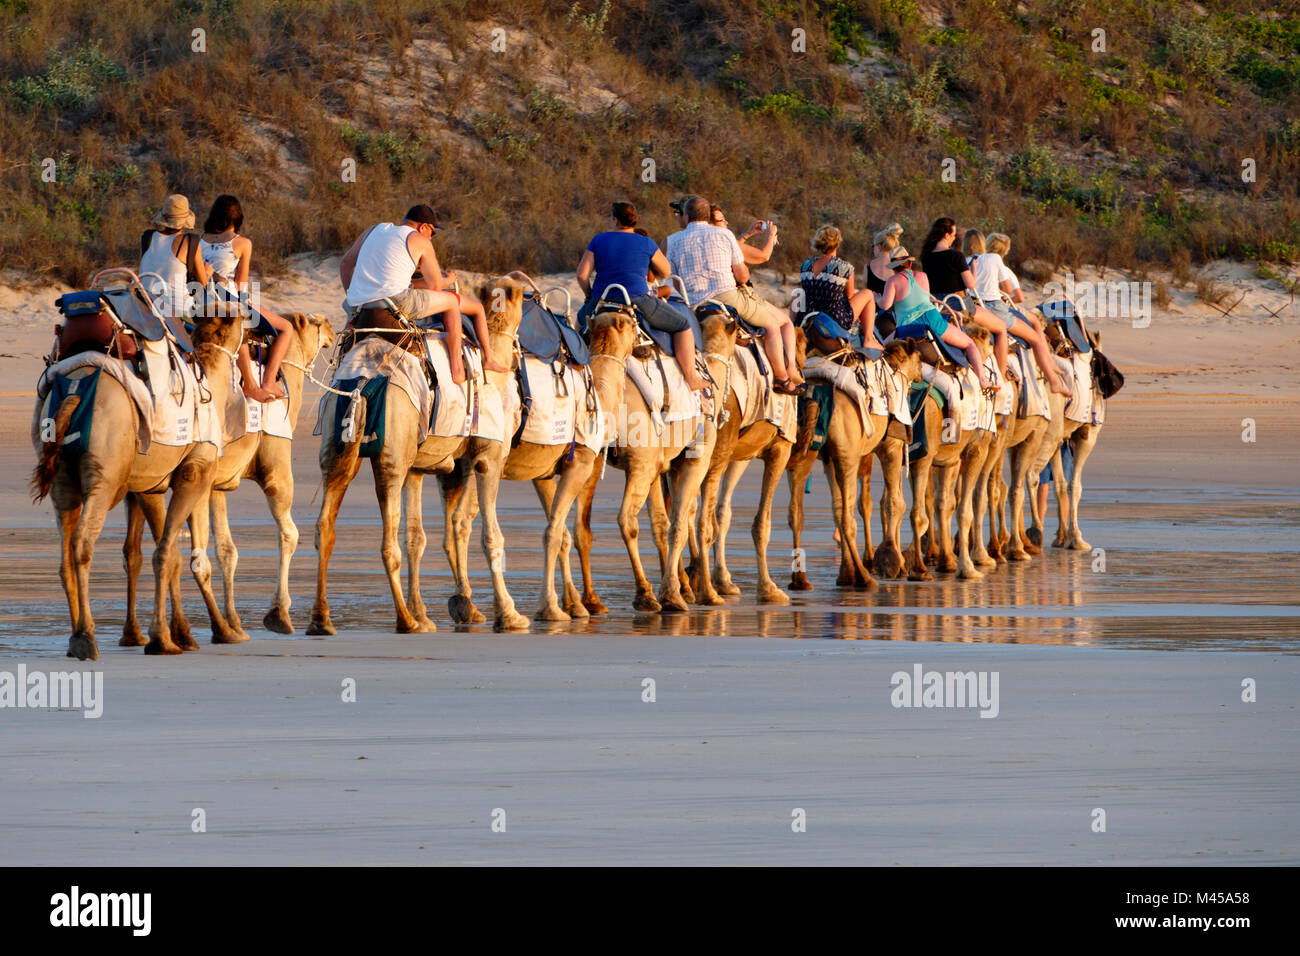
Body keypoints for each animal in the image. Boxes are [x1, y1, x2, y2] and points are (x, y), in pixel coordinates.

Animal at [32, 310, 244, 660]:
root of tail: (74, 389)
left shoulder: (149, 486)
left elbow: (165, 554)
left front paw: (179, 634)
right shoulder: (196, 471)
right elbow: (179, 555)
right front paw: (213, 631)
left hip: (62, 479)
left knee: (64, 555)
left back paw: (74, 638)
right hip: (104, 473)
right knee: (82, 542)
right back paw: (86, 638)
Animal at [306, 274, 525, 634]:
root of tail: (361, 382)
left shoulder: (418, 467)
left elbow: (417, 538)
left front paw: (431, 610)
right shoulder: (487, 455)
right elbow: (489, 535)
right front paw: (509, 614)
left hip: (337, 448)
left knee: (325, 527)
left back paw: (322, 620)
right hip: (391, 457)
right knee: (387, 544)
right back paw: (405, 621)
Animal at [574, 310, 738, 616]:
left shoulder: (660, 467)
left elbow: (662, 524)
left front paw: (682, 588)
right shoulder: (695, 459)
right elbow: (690, 525)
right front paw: (698, 594)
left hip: (599, 460)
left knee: (582, 527)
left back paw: (591, 600)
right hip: (641, 462)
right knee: (627, 519)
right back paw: (645, 594)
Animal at [696, 329, 806, 606]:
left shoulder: (740, 455)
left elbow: (723, 513)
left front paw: (724, 580)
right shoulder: (781, 447)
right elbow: (762, 523)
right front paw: (768, 589)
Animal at [780, 335, 925, 590]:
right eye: (919, 356)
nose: (921, 373)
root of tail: (812, 395)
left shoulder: (829, 459)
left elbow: (838, 507)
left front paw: (846, 573)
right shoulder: (891, 445)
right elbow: (895, 502)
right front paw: (892, 563)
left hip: (808, 449)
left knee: (797, 513)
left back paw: (802, 580)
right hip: (847, 453)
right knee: (848, 518)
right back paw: (865, 578)